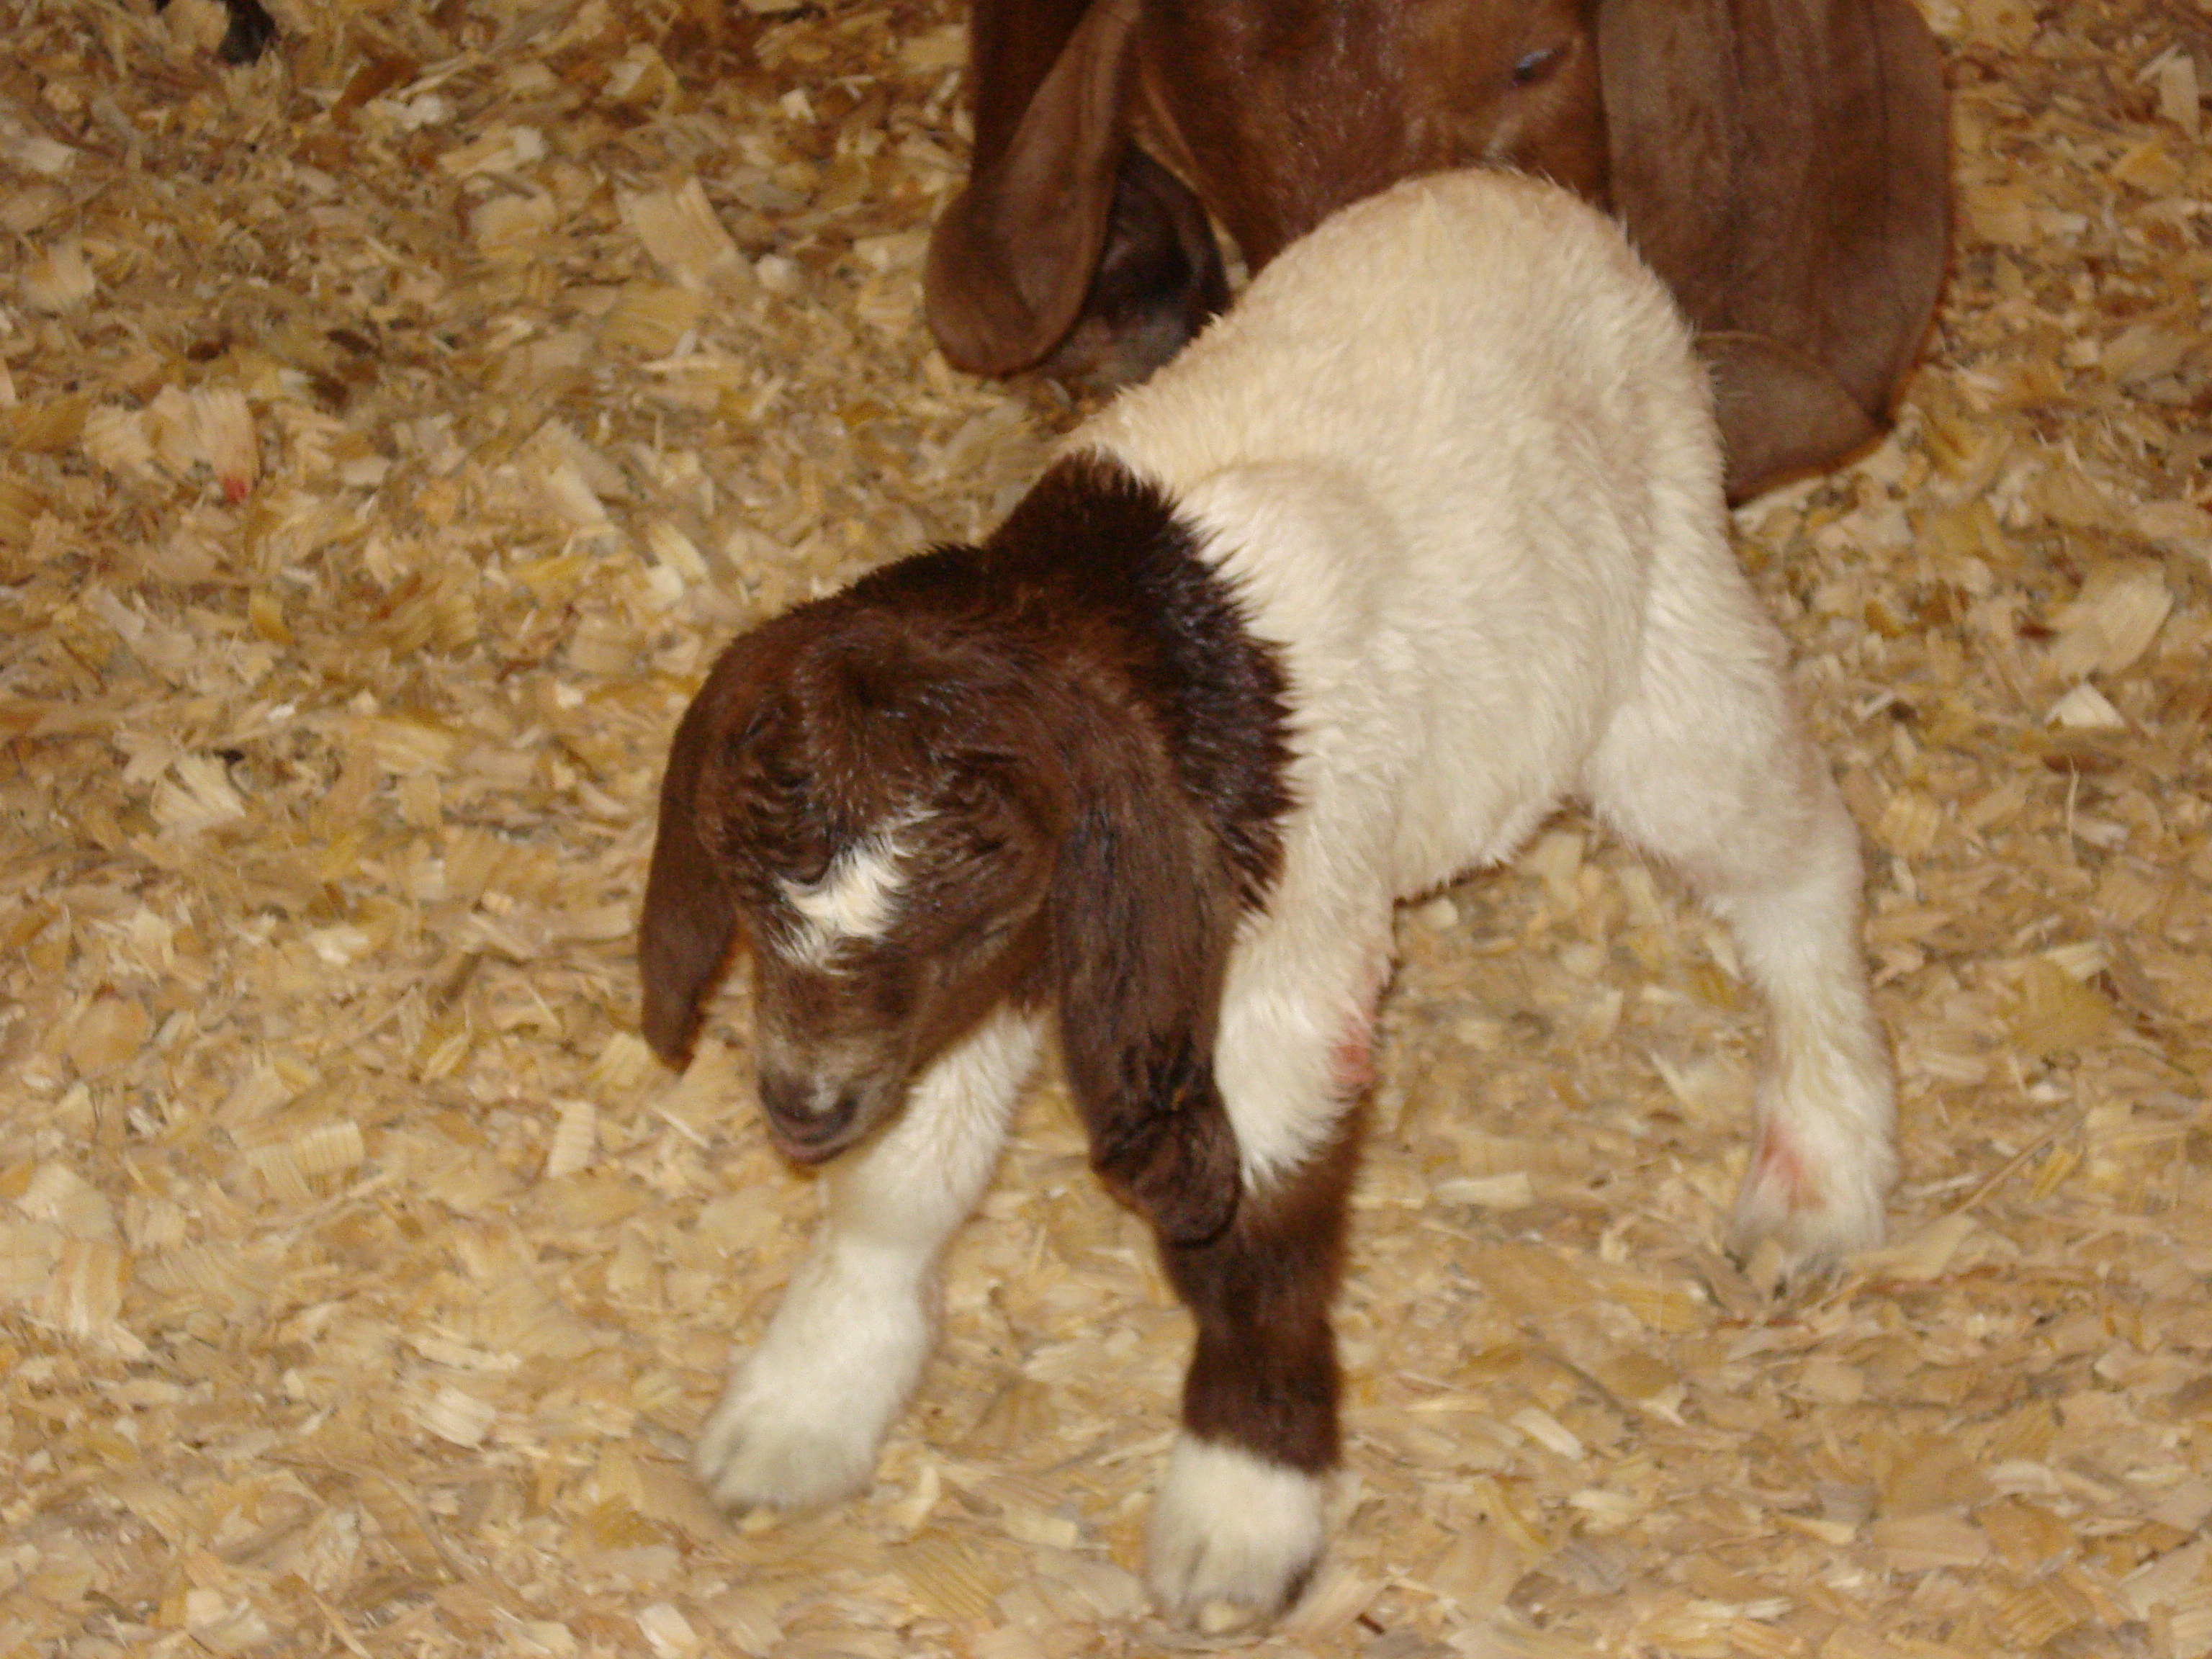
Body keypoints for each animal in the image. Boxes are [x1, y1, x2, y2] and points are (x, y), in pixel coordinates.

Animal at [641, 168, 1896, 1628]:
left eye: (984, 892)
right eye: (740, 881)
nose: (798, 1108)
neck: (1137, 636)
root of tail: (1531, 201)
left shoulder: (1276, 970)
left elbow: (1263, 1225)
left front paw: (1239, 1514)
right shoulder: (964, 997)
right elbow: (904, 1177)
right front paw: (804, 1405)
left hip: (1664, 649)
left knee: (1795, 852)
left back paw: (1818, 1171)